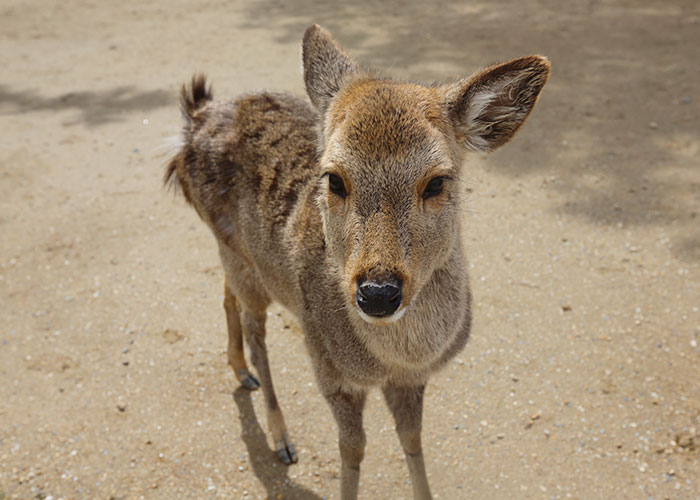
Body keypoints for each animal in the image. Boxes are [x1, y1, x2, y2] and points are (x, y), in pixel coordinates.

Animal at [164, 23, 548, 500]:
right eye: (333, 178)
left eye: (437, 181)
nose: (378, 293)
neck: (394, 361)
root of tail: (195, 117)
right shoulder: (332, 373)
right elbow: (352, 451)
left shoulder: (412, 381)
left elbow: (412, 440)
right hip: (242, 262)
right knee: (256, 332)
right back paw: (279, 434)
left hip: (240, 257)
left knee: (226, 291)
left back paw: (238, 371)